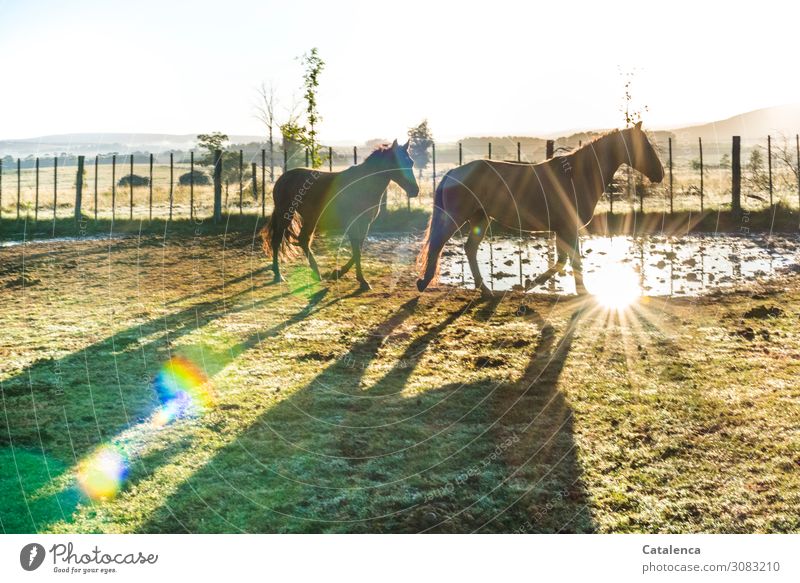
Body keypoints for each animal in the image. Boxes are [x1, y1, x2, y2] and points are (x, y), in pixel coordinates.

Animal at [262, 139, 422, 290]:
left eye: (411, 162)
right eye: (396, 162)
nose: (414, 190)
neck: (364, 185)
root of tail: (282, 178)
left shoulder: (365, 223)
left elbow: (359, 248)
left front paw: (339, 272)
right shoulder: (353, 224)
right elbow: (356, 249)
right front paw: (362, 281)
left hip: (310, 218)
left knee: (303, 239)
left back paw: (316, 272)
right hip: (286, 215)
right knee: (277, 241)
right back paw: (279, 275)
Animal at [416, 124, 664, 296]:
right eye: (645, 145)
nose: (660, 173)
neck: (576, 177)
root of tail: (453, 173)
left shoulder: (564, 230)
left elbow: (564, 261)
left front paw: (533, 284)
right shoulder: (568, 228)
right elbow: (573, 261)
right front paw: (580, 292)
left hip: (481, 218)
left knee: (470, 249)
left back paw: (484, 289)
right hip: (456, 217)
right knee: (438, 245)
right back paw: (424, 283)